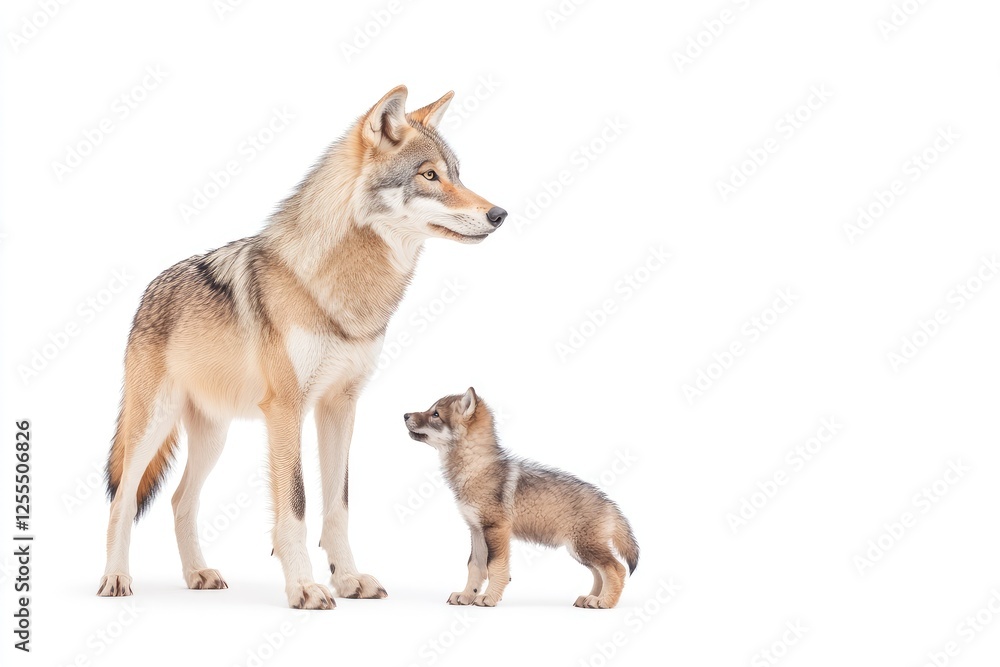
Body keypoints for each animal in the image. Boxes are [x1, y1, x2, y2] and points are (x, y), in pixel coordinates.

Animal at [97, 86, 507, 609]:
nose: (499, 214)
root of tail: (148, 290)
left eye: (457, 173)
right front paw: (304, 587)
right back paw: (115, 578)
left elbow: (338, 505)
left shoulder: (340, 406)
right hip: (152, 427)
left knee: (178, 501)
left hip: (213, 437)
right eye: (429, 175)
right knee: (123, 500)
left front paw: (348, 579)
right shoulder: (286, 410)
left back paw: (197, 575)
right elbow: (295, 505)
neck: (344, 292)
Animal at [403, 388, 639, 609]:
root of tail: (610, 504)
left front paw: (488, 597)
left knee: (615, 569)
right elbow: (475, 567)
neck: (475, 469)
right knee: (600, 573)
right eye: (430, 410)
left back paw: (604, 602)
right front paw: (467, 595)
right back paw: (590, 598)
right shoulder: (476, 530)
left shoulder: (496, 530)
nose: (405, 414)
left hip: (584, 548)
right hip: (580, 551)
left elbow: (494, 567)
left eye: (435, 414)